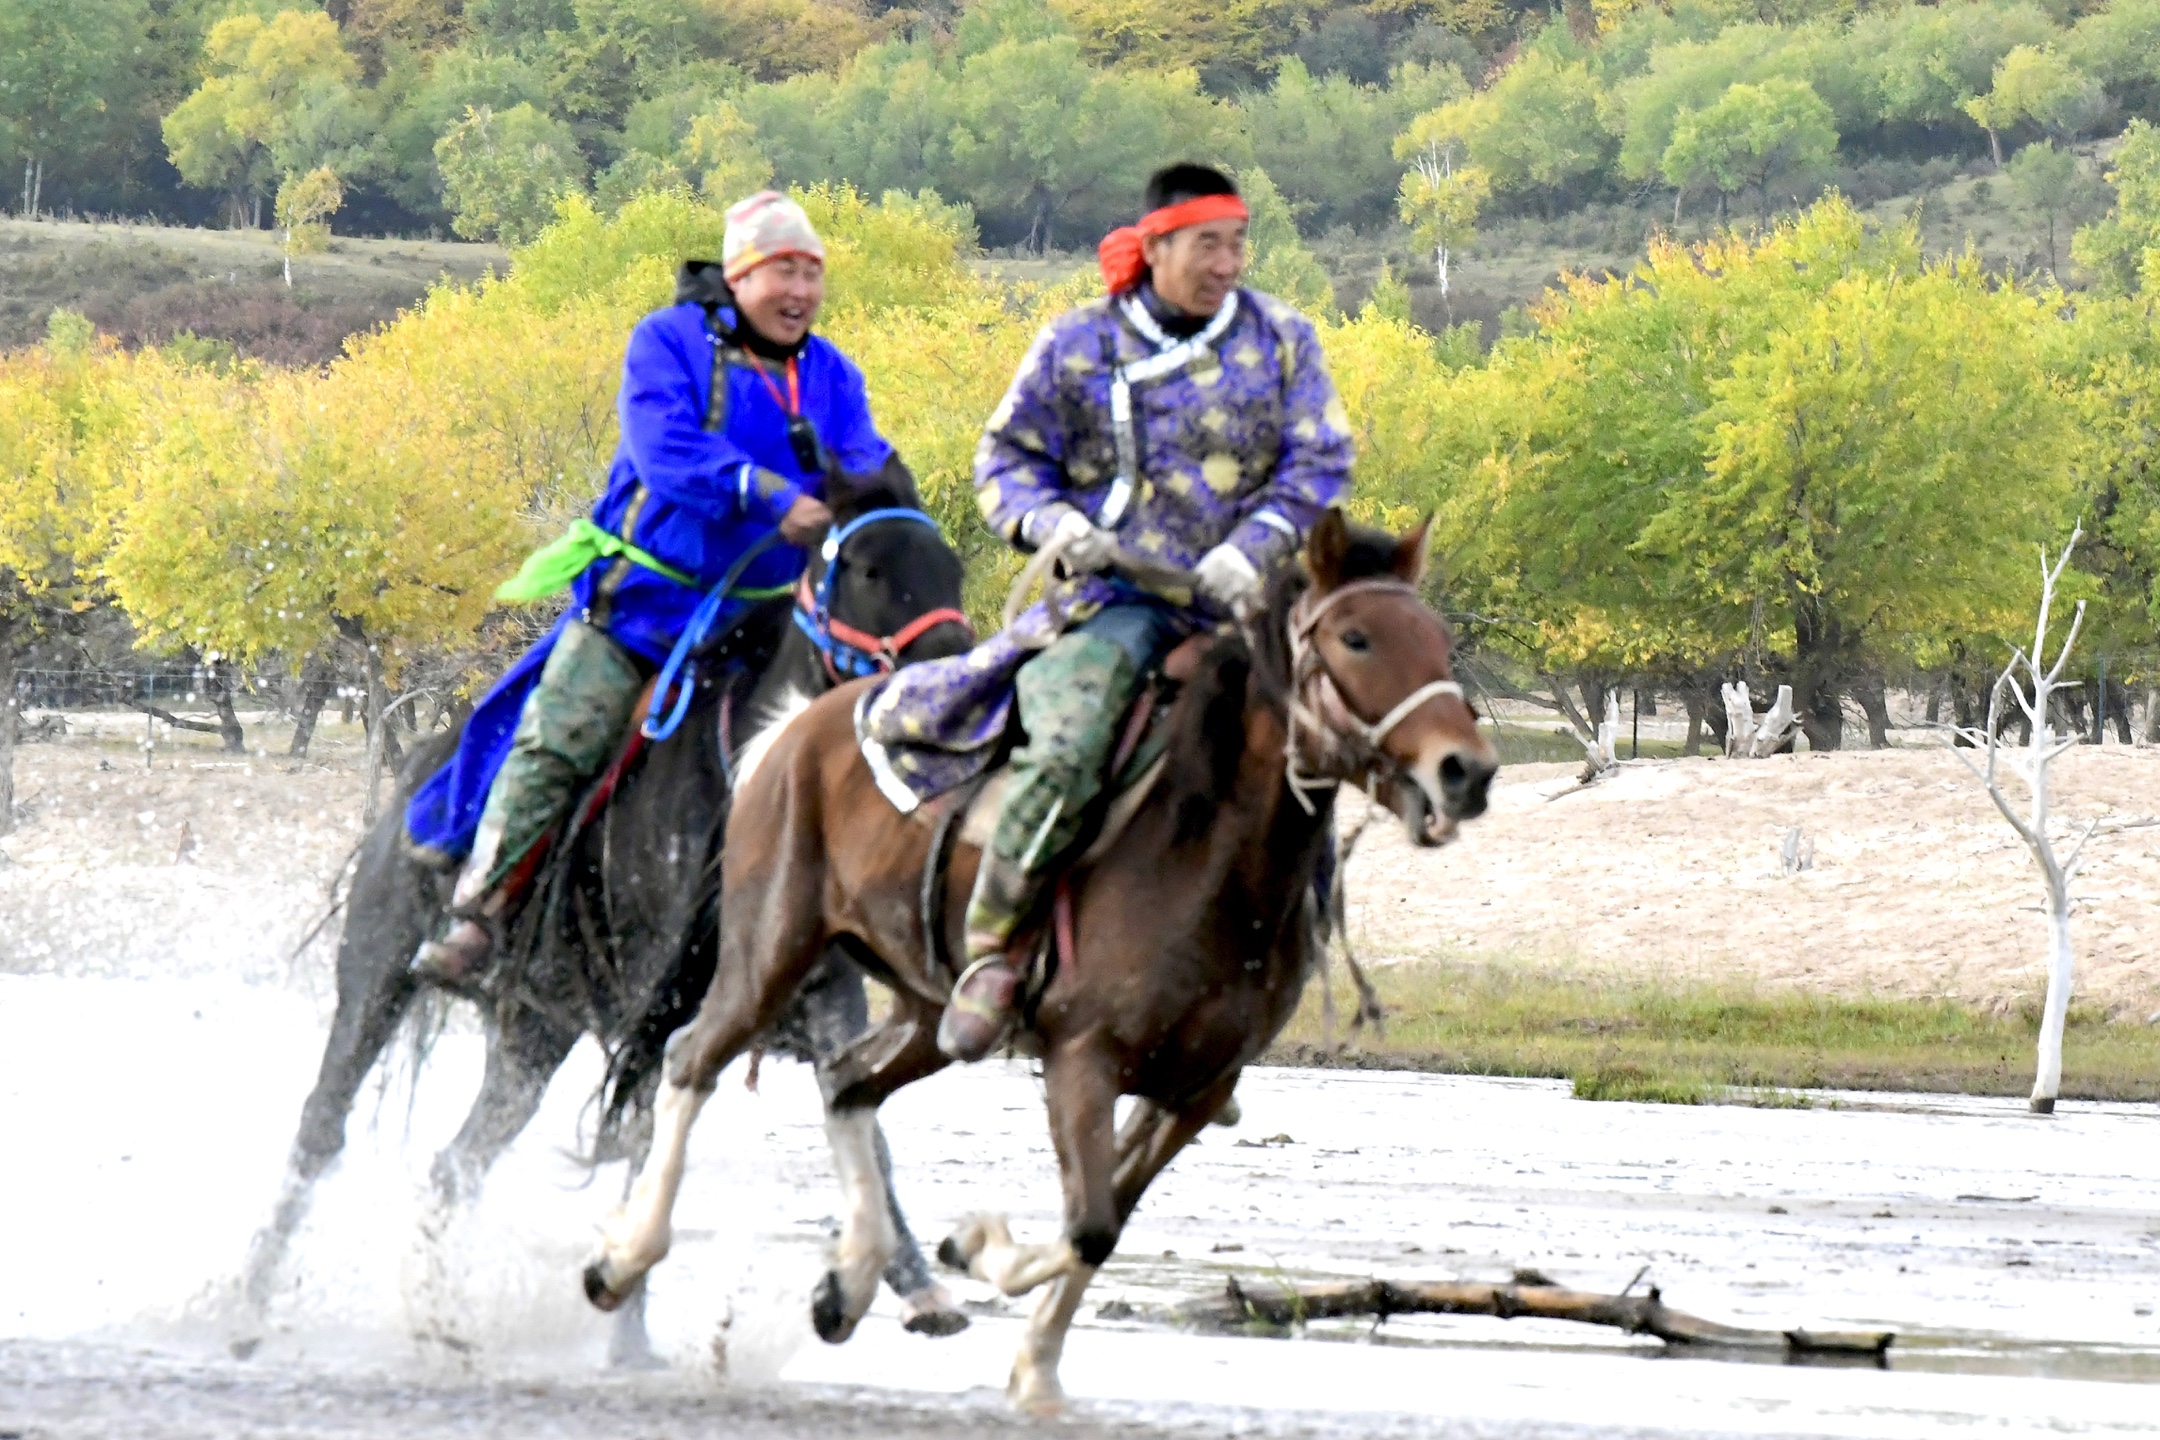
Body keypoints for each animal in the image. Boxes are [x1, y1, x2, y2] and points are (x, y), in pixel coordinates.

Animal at [234, 470, 972, 1364]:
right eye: (866, 567)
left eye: (952, 566)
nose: (954, 682)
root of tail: (409, 788)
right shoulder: (664, 1006)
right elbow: (648, 1140)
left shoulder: (820, 997)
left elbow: (865, 1133)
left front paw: (914, 1286)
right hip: (375, 977)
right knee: (322, 1126)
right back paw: (249, 1305)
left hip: (534, 1035)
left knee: (456, 1164)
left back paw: (440, 1314)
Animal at [591, 511, 1503, 1416]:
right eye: (1356, 637)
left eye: (1437, 640)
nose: (1466, 771)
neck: (1208, 856)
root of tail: (791, 729)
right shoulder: (1082, 1060)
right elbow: (1089, 1223)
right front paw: (976, 1247)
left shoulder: (1195, 1091)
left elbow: (1102, 1226)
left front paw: (1032, 1364)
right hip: (771, 949)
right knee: (692, 1062)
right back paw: (620, 1259)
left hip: (931, 1012)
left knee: (846, 1082)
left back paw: (847, 1284)